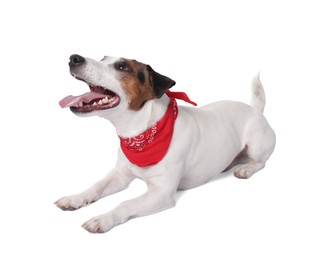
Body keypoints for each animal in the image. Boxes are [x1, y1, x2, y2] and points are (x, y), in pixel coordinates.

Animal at [55, 53, 276, 233]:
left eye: (122, 66)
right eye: (102, 59)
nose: (74, 58)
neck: (141, 134)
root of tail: (255, 109)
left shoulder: (161, 193)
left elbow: (126, 203)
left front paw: (102, 218)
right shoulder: (120, 175)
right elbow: (96, 186)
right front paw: (75, 198)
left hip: (257, 144)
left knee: (261, 162)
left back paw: (246, 169)